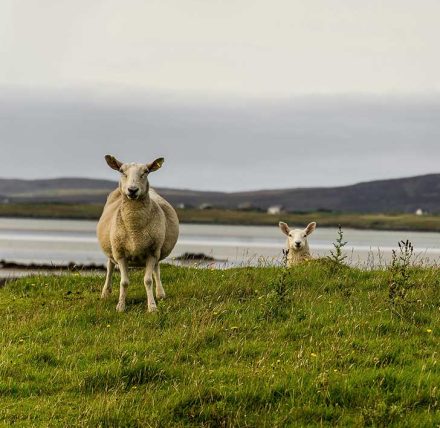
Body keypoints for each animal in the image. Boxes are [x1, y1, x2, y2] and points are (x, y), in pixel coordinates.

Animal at [96, 154, 179, 310]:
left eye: (146, 172)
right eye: (121, 171)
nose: (132, 190)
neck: (134, 229)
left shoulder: (152, 251)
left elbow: (148, 280)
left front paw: (152, 307)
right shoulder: (120, 253)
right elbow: (124, 282)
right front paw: (120, 306)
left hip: (157, 248)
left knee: (157, 269)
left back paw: (160, 293)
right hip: (111, 248)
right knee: (110, 267)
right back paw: (105, 293)